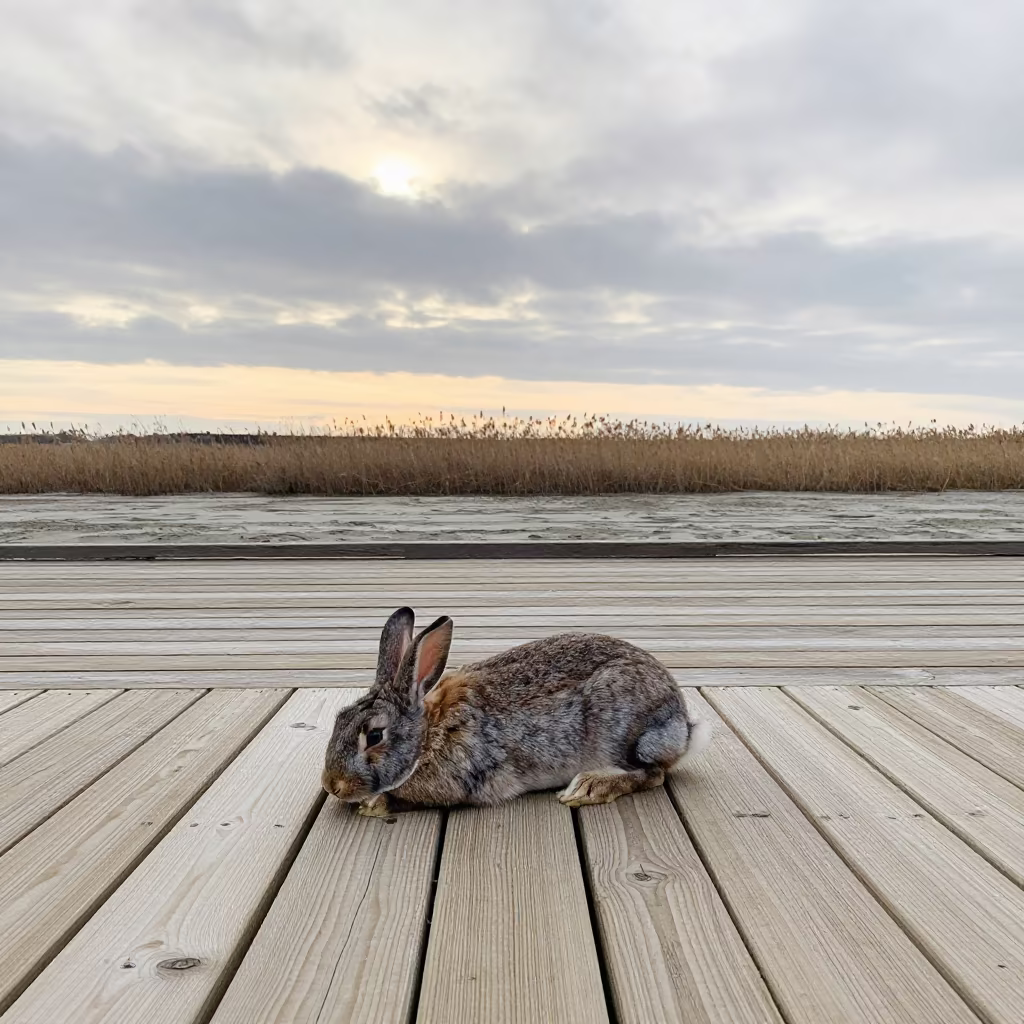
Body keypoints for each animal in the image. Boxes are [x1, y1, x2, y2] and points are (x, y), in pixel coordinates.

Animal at [322, 606, 712, 817]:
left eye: (374, 735)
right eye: (340, 718)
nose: (331, 785)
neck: (427, 735)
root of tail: (683, 725)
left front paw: (376, 804)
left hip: (630, 735)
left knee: (653, 774)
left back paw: (590, 786)